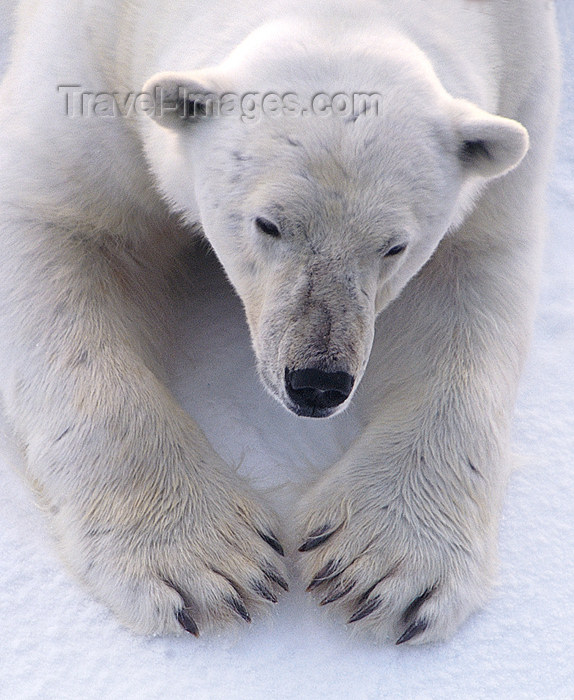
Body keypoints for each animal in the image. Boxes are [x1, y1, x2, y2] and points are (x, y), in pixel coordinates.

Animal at [0, 1, 560, 644]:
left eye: (394, 245)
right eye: (267, 223)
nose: (317, 381)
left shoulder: (520, 78)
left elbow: (469, 281)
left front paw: (382, 566)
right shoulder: (89, 65)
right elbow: (58, 226)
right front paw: (207, 564)